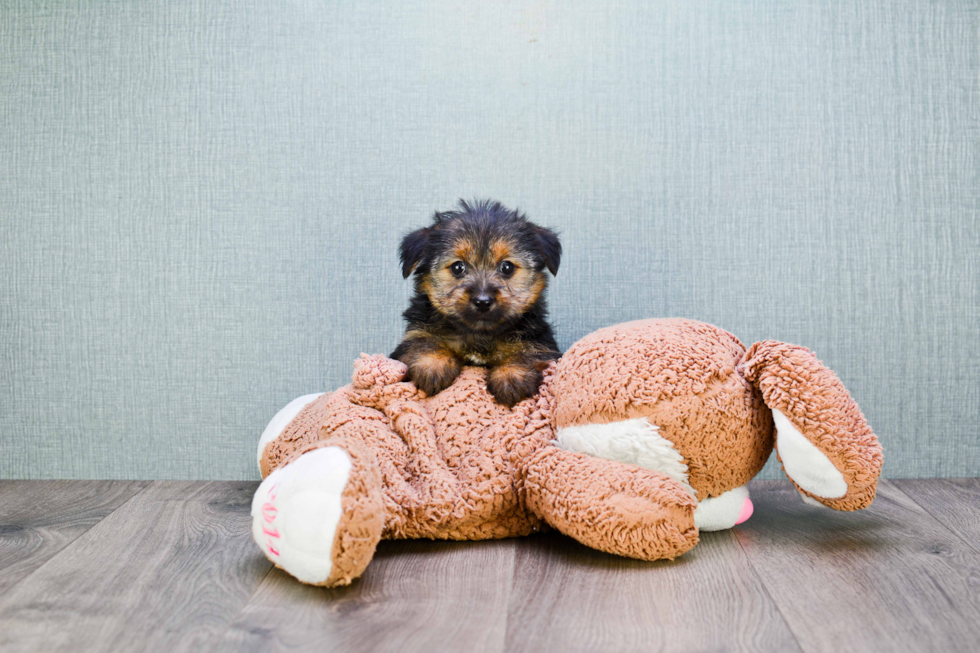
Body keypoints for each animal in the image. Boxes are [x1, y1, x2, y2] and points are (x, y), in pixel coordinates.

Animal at [388, 197, 560, 408]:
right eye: (457, 267)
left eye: (507, 267)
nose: (483, 301)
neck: (480, 335)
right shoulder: (416, 330)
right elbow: (421, 339)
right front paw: (432, 364)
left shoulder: (542, 342)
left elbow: (530, 351)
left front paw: (511, 375)